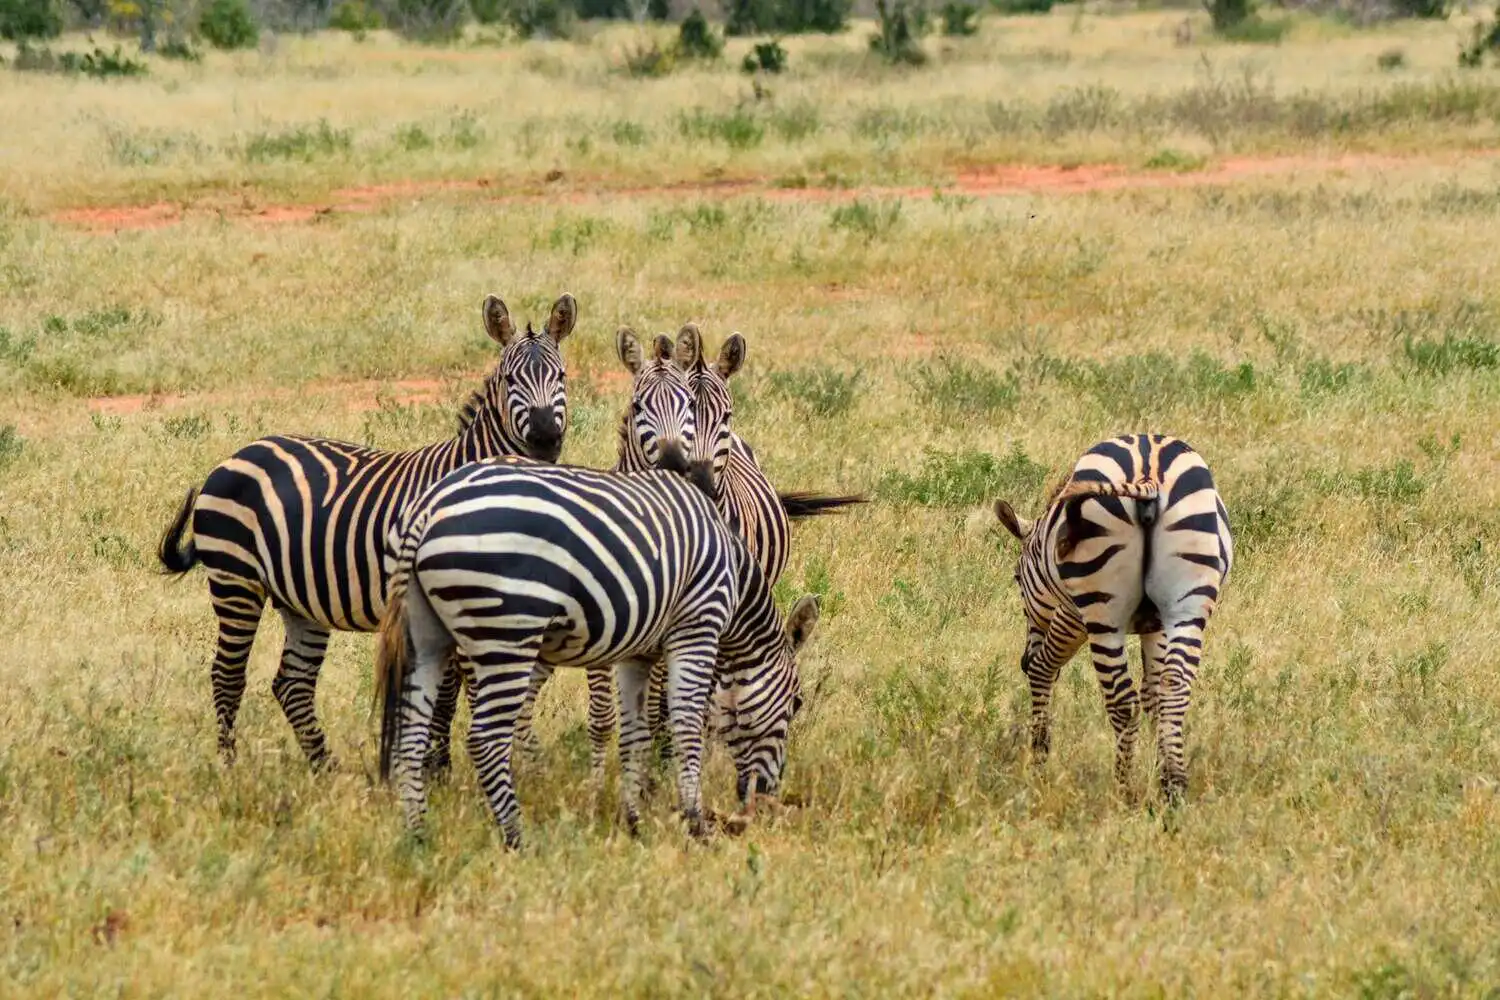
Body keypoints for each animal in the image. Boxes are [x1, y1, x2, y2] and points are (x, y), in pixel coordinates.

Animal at [152, 293, 573, 773]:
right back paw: (230, 766)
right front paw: (440, 768)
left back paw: (326, 769)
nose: (545, 438)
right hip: (235, 580)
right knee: (227, 674)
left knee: (292, 683)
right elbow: (448, 694)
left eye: (561, 376)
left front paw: (439, 765)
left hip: (300, 599)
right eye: (509, 379)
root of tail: (238, 453)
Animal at [375, 458, 822, 851]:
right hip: (508, 632)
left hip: (426, 637)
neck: (734, 575)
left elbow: (635, 735)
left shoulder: (638, 654)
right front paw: (697, 824)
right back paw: (517, 839)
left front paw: (633, 821)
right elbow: (687, 726)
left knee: (410, 736)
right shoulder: (697, 626)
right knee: (486, 739)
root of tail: (429, 507)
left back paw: (419, 835)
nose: (766, 800)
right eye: (797, 703)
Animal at [996, 434, 1230, 803]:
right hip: (1188, 604)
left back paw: (1123, 790)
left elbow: (1043, 667)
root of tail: (1147, 471)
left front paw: (1039, 756)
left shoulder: (1071, 615)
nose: (1021, 659)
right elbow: (1154, 695)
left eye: (1017, 579)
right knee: (1174, 687)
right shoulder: (1156, 624)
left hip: (1102, 611)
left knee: (1123, 703)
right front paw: (1159, 766)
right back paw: (1174, 789)